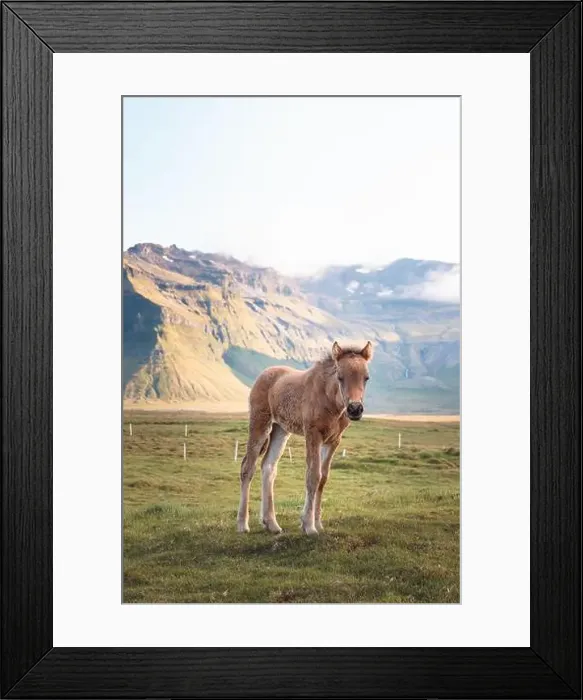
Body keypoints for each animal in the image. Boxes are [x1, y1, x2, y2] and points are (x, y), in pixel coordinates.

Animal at [236, 340, 373, 536]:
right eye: (340, 377)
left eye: (366, 378)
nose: (355, 409)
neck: (330, 400)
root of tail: (263, 374)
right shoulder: (313, 435)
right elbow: (313, 476)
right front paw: (309, 526)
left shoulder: (333, 441)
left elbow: (323, 478)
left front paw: (317, 522)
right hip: (260, 424)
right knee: (248, 467)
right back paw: (242, 524)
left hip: (280, 430)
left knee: (268, 467)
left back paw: (272, 523)